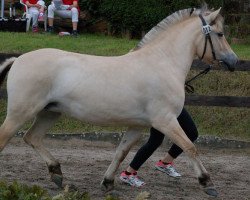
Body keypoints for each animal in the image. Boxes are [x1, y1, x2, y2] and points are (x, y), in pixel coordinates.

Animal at [0, 5, 238, 197]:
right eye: (220, 33)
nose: (234, 61)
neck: (162, 63)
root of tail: (18, 59)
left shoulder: (137, 126)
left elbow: (120, 153)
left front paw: (108, 184)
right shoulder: (166, 121)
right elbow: (190, 147)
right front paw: (207, 184)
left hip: (50, 112)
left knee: (32, 138)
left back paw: (57, 174)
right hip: (21, 113)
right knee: (6, 138)